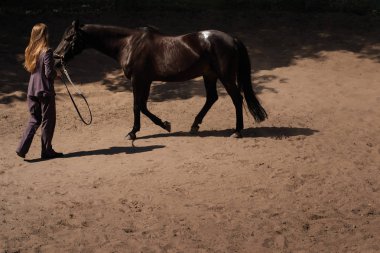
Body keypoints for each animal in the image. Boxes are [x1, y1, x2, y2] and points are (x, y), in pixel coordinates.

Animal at [53, 20, 268, 140]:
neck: (129, 44)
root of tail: (232, 39)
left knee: (237, 99)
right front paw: (165, 124)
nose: (55, 59)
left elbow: (137, 106)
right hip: (209, 75)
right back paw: (195, 125)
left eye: (69, 38)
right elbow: (143, 106)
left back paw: (237, 131)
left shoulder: (138, 80)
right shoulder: (146, 81)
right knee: (212, 98)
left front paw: (133, 132)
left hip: (225, 76)